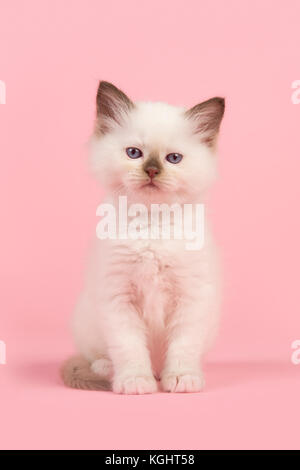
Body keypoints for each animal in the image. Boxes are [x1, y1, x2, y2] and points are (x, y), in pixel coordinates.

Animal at [61, 80, 225, 392]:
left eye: (174, 159)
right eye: (134, 153)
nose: (151, 171)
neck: (152, 224)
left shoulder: (191, 297)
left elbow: (183, 346)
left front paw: (182, 378)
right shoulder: (117, 297)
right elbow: (129, 348)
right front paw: (135, 381)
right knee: (95, 356)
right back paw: (108, 369)